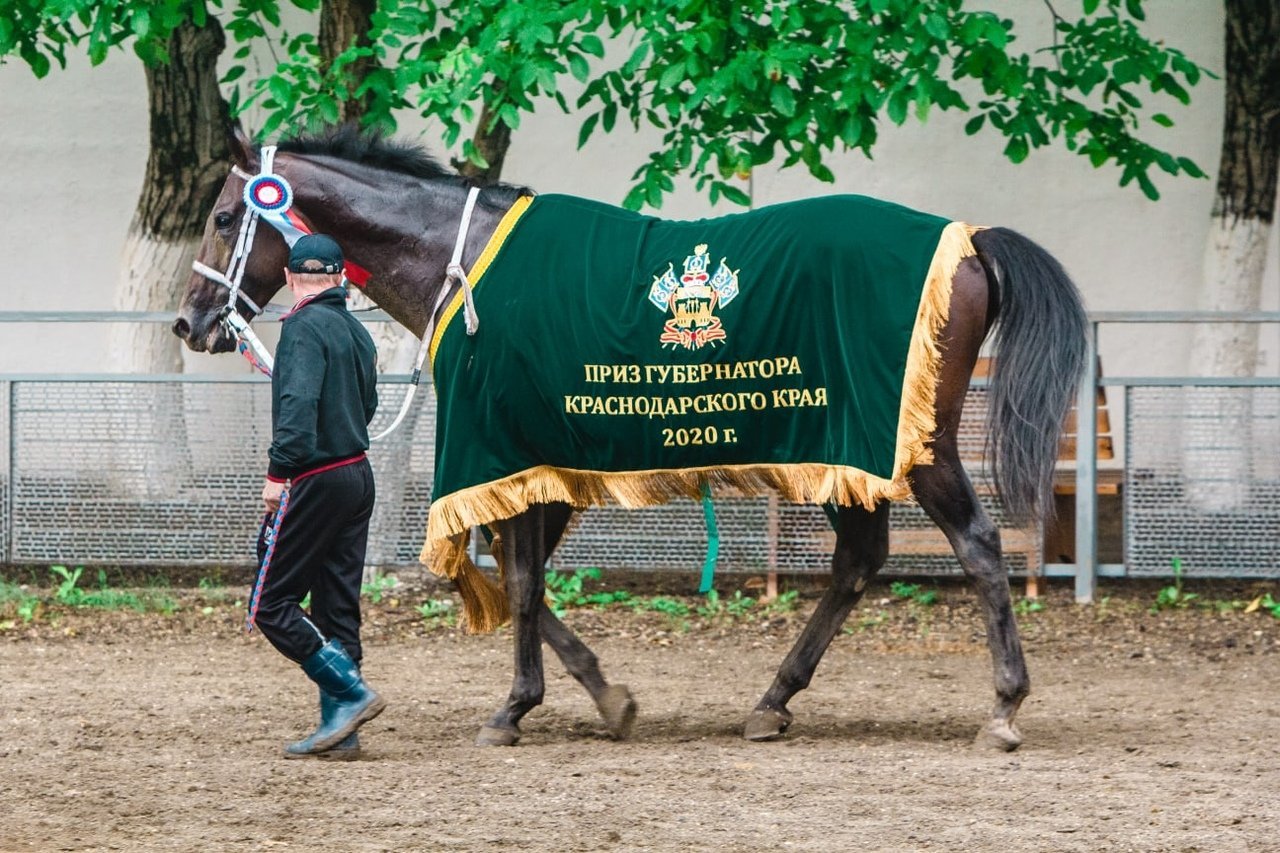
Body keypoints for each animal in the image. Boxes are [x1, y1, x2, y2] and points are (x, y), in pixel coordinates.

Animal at [175, 122, 1085, 747]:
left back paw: (1003, 708)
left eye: (221, 216)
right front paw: (603, 696)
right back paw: (772, 701)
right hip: (847, 454)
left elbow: (519, 577)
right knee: (859, 561)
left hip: (916, 446)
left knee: (976, 544)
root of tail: (965, 241)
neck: (461, 263)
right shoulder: (539, 466)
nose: (190, 322)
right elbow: (524, 576)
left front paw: (516, 706)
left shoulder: (507, 453)